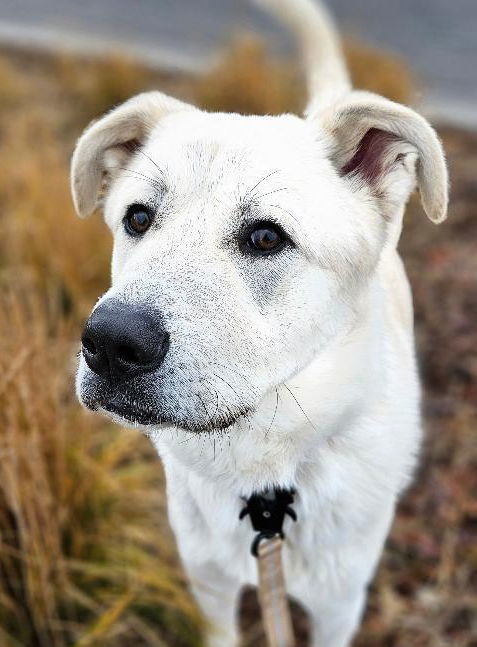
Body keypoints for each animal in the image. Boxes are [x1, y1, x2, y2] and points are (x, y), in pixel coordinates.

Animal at [70, 0, 446, 644]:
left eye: (267, 237)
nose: (110, 343)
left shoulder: (338, 605)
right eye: (138, 218)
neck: (265, 484)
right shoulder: (209, 584)